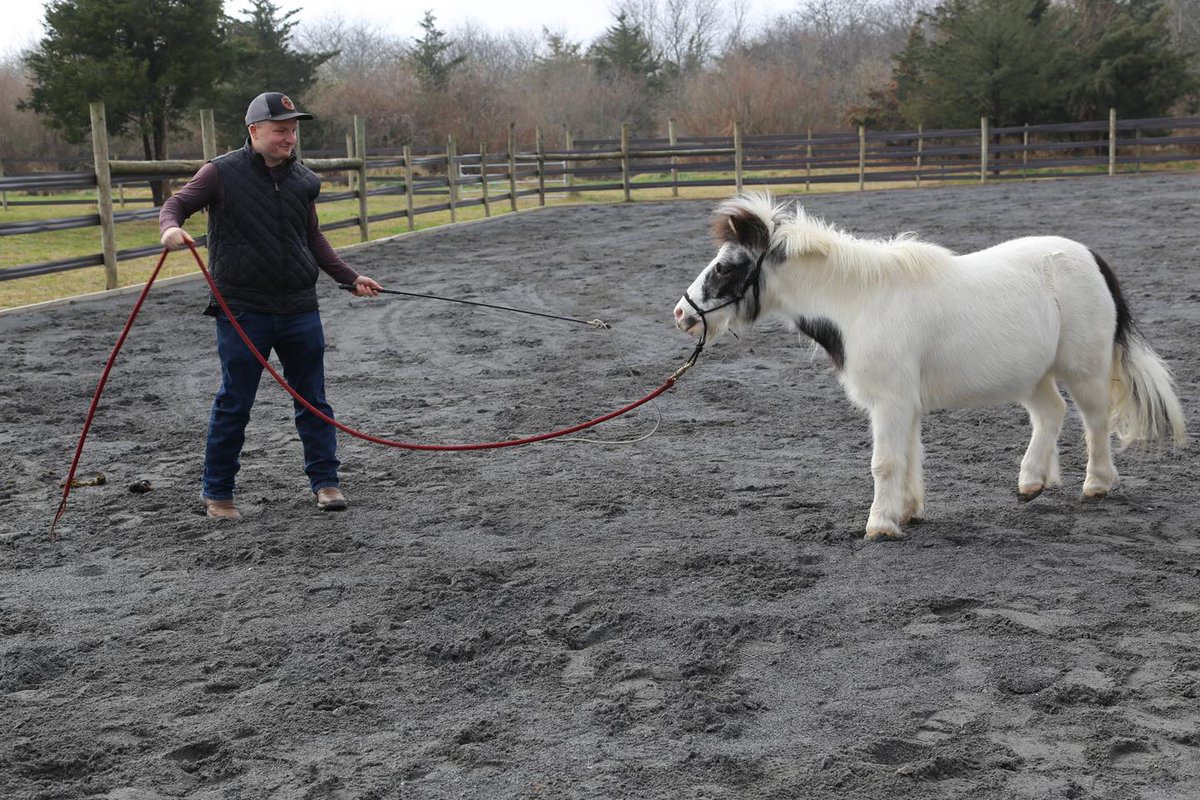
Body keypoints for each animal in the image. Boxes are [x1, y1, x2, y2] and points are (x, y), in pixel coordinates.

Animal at [673, 193, 1187, 540]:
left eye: (726, 266)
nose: (682, 314)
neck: (861, 302)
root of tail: (1089, 256)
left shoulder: (890, 401)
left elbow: (885, 461)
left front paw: (880, 525)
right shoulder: (906, 402)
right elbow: (910, 456)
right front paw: (907, 512)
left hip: (1084, 368)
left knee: (1095, 422)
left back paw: (1097, 484)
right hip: (1032, 376)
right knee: (1050, 414)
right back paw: (1031, 482)